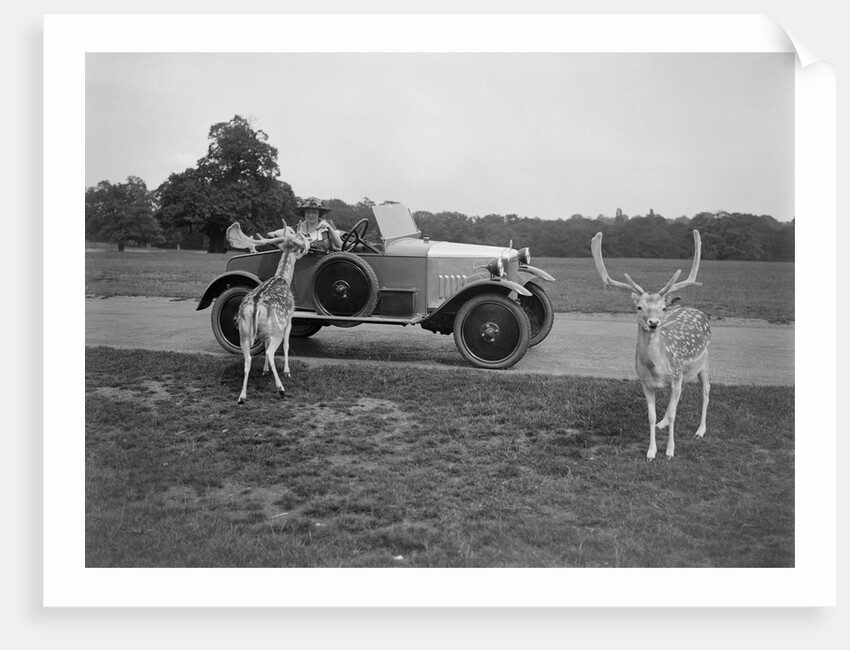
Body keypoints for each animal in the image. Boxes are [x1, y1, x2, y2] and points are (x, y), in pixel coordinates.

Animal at [225, 221, 311, 404]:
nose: (307, 240)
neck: (282, 278)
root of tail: (256, 305)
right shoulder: (290, 319)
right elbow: (286, 345)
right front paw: (287, 371)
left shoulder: (264, 333)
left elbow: (264, 346)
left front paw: (264, 370)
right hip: (276, 329)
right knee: (272, 352)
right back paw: (281, 389)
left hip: (244, 332)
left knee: (248, 359)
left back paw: (242, 396)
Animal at [590, 230, 710, 460]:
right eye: (639, 307)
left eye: (663, 308)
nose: (653, 322)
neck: (656, 369)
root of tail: (697, 311)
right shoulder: (645, 383)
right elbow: (651, 416)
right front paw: (651, 452)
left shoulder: (675, 377)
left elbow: (674, 415)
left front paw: (670, 451)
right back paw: (665, 425)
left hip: (705, 361)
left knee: (706, 390)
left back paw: (700, 431)